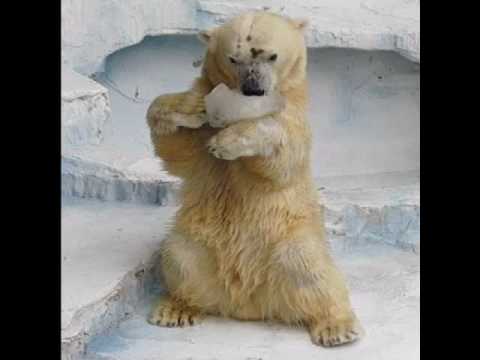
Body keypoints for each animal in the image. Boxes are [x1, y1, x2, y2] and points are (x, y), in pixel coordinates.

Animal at [146, 11, 364, 348]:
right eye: (234, 58)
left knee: (308, 266)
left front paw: (229, 142)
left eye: (270, 56)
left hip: (288, 236)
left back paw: (336, 327)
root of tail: (248, 303)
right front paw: (185, 108)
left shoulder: (293, 116)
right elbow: (177, 150)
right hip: (201, 241)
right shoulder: (202, 122)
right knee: (181, 256)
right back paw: (176, 308)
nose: (253, 89)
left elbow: (282, 154)